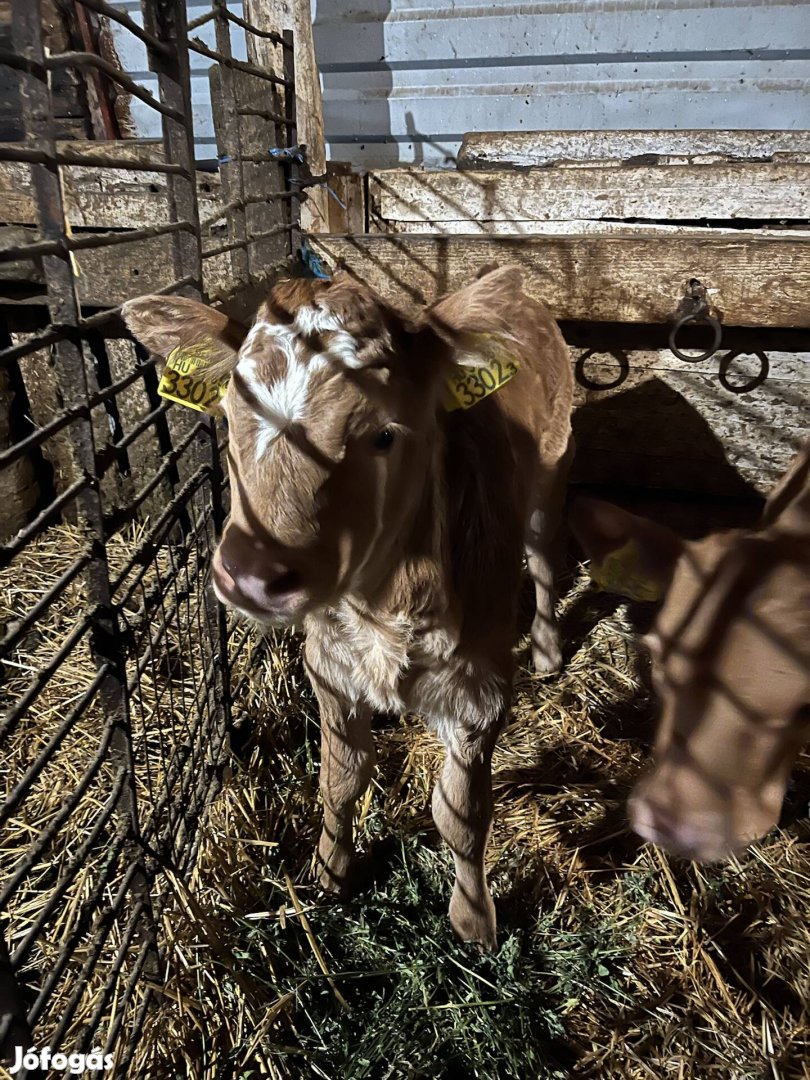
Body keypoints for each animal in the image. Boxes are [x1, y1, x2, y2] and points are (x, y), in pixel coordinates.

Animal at [123, 267, 574, 946]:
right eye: (227, 414)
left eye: (384, 434)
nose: (250, 574)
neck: (381, 603)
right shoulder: (327, 666)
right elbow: (340, 778)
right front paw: (330, 871)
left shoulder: (482, 690)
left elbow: (462, 813)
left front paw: (473, 922)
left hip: (552, 468)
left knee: (545, 557)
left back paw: (547, 650)